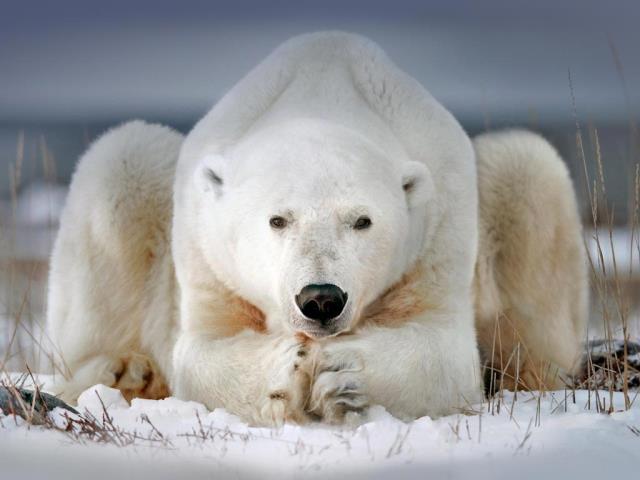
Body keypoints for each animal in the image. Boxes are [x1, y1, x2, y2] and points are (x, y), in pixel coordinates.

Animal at [46, 32, 587, 425]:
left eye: (362, 221)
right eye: (277, 219)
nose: (321, 298)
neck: (323, 93)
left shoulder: (440, 227)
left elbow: (444, 350)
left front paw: (342, 374)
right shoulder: (207, 251)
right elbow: (202, 350)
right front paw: (287, 370)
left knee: (527, 170)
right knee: (122, 163)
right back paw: (124, 372)